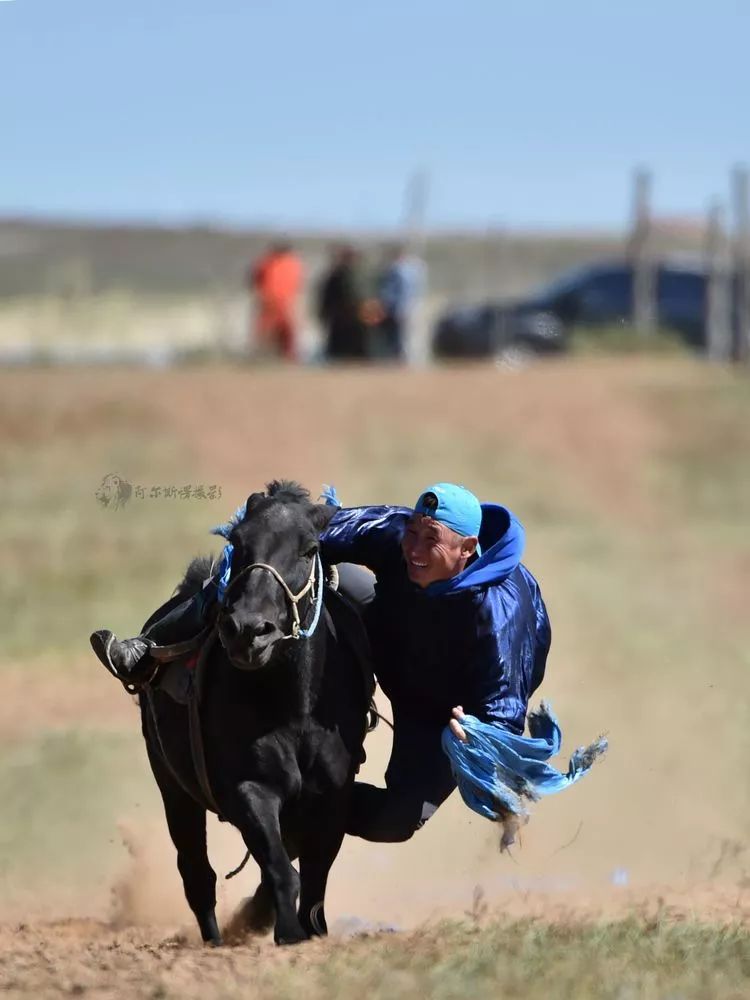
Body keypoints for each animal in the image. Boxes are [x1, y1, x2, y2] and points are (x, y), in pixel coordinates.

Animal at [139, 482, 374, 944]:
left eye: (309, 548)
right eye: (238, 540)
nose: (248, 630)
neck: (296, 709)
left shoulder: (331, 797)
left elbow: (314, 873)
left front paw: (307, 928)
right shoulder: (250, 788)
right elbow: (282, 868)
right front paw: (288, 932)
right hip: (172, 786)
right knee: (197, 872)